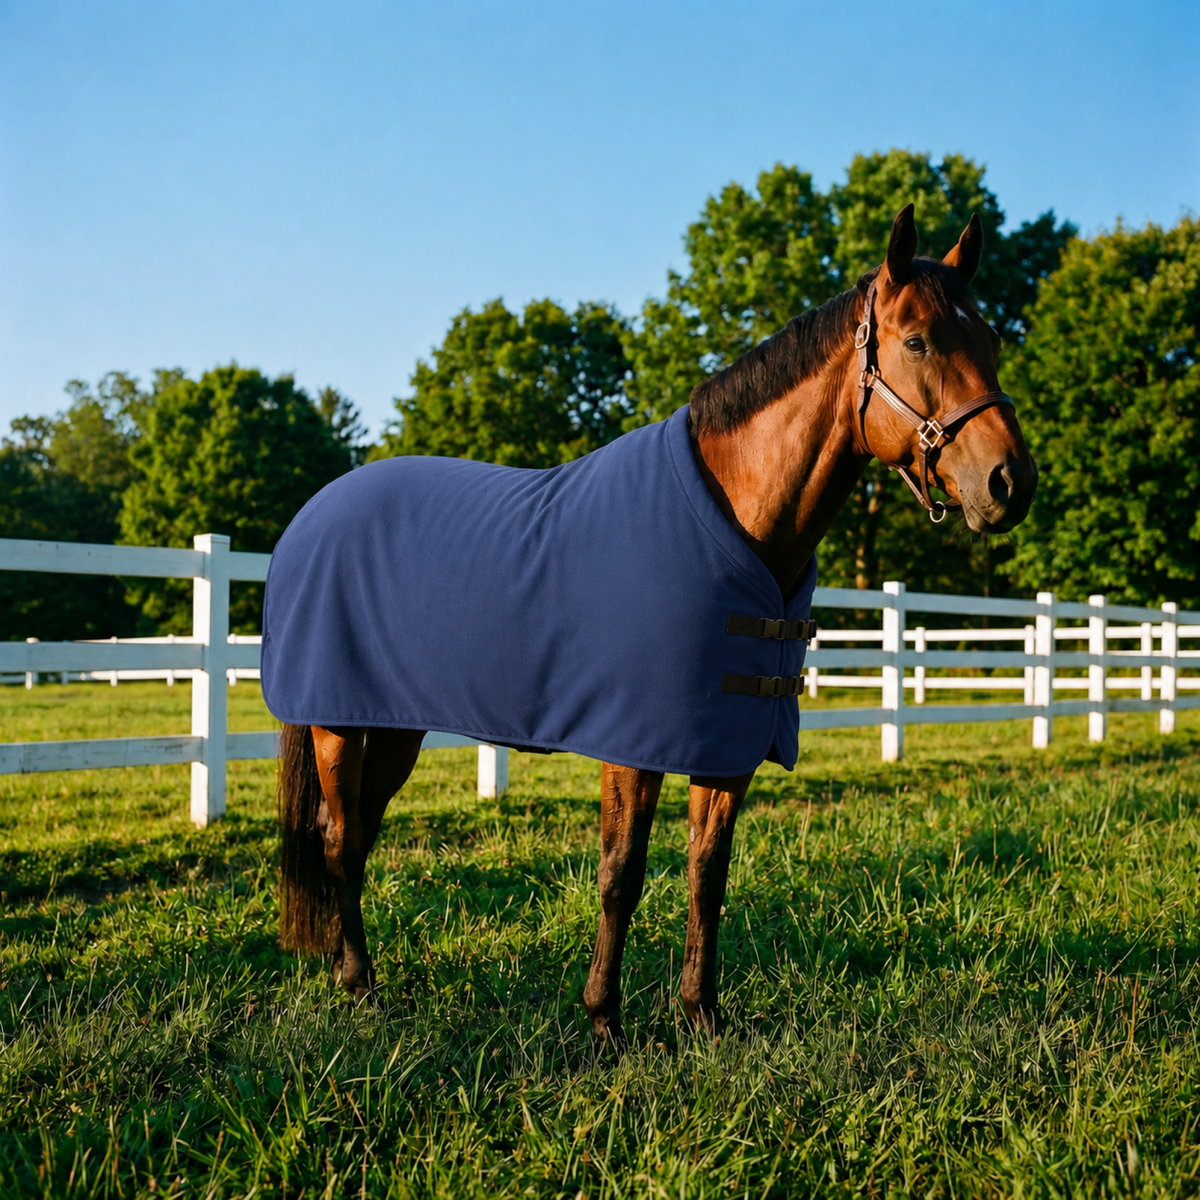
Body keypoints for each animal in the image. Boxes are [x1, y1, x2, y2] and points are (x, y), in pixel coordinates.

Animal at [267, 204, 1037, 1044]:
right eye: (919, 340)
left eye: (991, 341)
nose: (1011, 482)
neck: (735, 518)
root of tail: (315, 513)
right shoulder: (632, 744)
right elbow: (622, 874)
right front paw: (604, 1018)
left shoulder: (726, 743)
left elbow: (708, 873)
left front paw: (702, 1013)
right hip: (338, 726)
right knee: (340, 840)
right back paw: (359, 984)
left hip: (396, 729)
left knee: (358, 836)